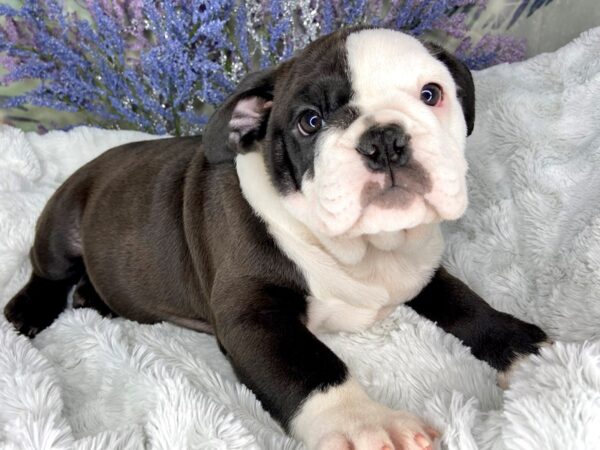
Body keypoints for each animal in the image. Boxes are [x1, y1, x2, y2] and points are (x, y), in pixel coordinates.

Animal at [4, 28, 548, 450]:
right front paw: (367, 423)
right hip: (63, 220)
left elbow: (466, 303)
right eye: (310, 122)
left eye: (431, 94)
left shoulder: (422, 271)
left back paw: (94, 301)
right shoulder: (254, 317)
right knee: (48, 270)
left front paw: (524, 349)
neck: (366, 250)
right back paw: (29, 310)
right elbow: (311, 366)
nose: (384, 140)